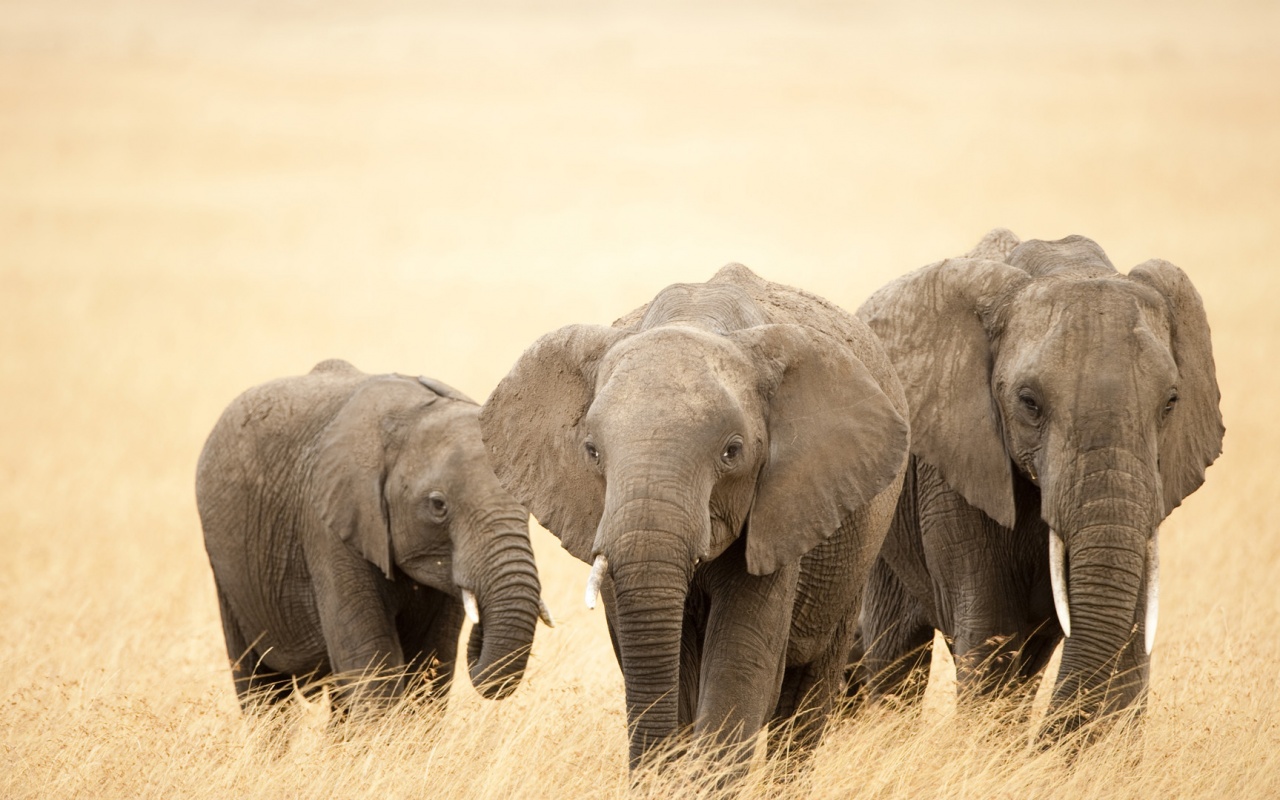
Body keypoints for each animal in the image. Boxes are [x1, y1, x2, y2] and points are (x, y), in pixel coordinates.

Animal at [195, 358, 550, 716]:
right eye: (438, 505)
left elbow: (430, 666)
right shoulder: (330, 524)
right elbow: (372, 665)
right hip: (227, 570)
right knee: (262, 688)